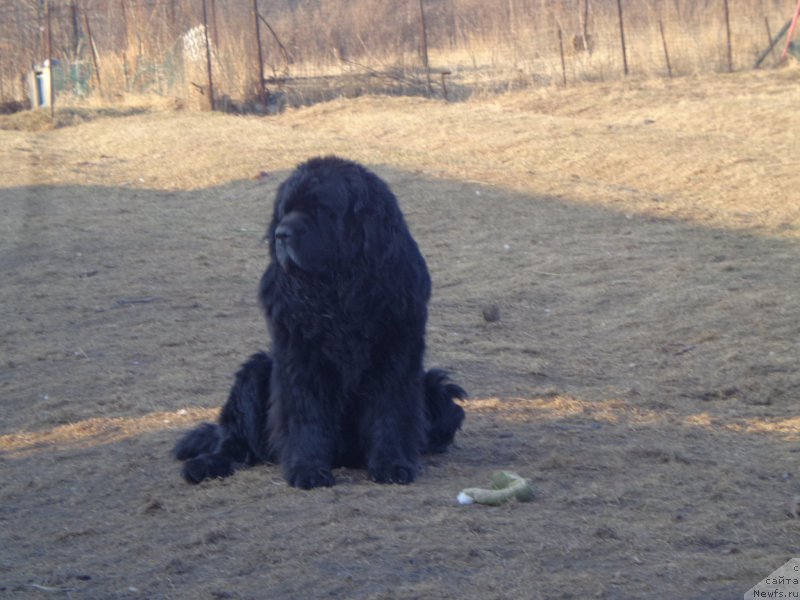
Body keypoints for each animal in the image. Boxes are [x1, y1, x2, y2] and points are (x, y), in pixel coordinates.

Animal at [172, 155, 466, 488]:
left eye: (321, 209)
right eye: (285, 210)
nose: (281, 234)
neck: (338, 288)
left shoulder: (395, 354)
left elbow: (390, 410)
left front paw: (392, 464)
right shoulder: (299, 356)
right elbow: (305, 413)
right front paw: (307, 469)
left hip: (435, 390)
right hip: (256, 371)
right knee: (235, 441)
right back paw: (205, 465)